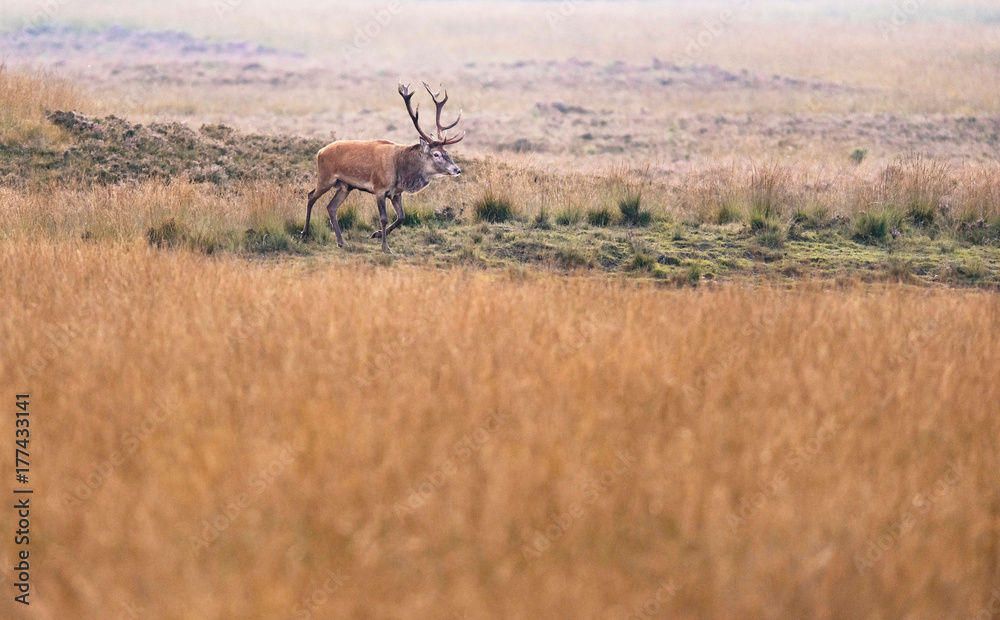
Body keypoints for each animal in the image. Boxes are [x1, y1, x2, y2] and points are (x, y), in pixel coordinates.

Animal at [300, 81, 465, 253]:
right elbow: (384, 218)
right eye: (436, 154)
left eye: (447, 152)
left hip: (345, 186)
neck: (401, 172)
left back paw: (340, 242)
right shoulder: (379, 188)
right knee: (311, 196)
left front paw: (377, 234)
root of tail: (320, 151)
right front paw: (385, 247)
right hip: (325, 178)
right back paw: (304, 234)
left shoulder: (396, 193)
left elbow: (402, 217)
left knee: (331, 207)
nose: (456, 169)